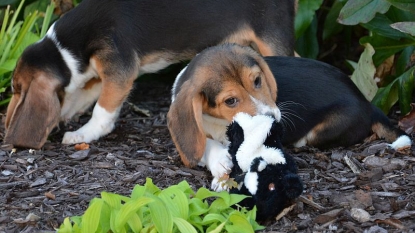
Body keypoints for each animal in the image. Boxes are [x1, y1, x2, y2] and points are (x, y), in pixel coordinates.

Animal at [3, 0, 296, 149]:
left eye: (17, 88)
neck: (65, 49)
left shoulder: (119, 71)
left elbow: (102, 109)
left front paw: (85, 133)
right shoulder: (99, 73)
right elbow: (83, 96)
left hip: (271, 37)